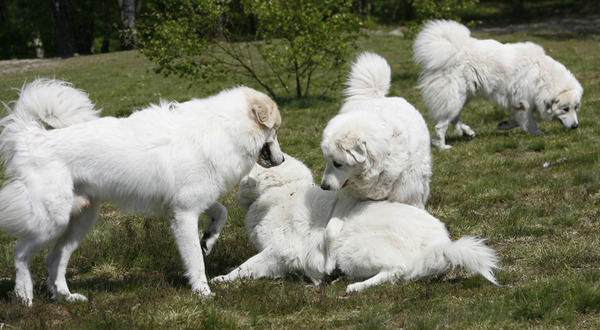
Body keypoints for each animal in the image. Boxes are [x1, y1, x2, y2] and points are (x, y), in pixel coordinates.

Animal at [0, 78, 284, 306]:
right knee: (21, 252)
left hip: (80, 222)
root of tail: (32, 137)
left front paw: (210, 239)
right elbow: (195, 260)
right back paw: (25, 296)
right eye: (276, 129)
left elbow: (220, 212)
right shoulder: (184, 213)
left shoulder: (188, 202)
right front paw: (203, 293)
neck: (224, 129)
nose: (281, 160)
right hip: (53, 221)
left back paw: (66, 298)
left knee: (53, 260)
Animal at [213, 155, 500, 292]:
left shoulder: (279, 251)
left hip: (351, 249)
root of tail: (439, 248)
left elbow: (245, 266)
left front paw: (222, 279)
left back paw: (355, 287)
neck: (280, 190)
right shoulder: (279, 259)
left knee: (396, 272)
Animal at [414, 19, 584, 150]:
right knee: (441, 125)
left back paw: (466, 131)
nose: (576, 127)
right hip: (456, 97)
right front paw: (539, 134)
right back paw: (442, 146)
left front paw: (504, 125)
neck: (542, 76)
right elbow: (530, 123)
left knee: (454, 117)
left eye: (576, 108)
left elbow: (517, 120)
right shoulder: (522, 102)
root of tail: (453, 49)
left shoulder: (519, 104)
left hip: (463, 97)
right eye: (565, 109)